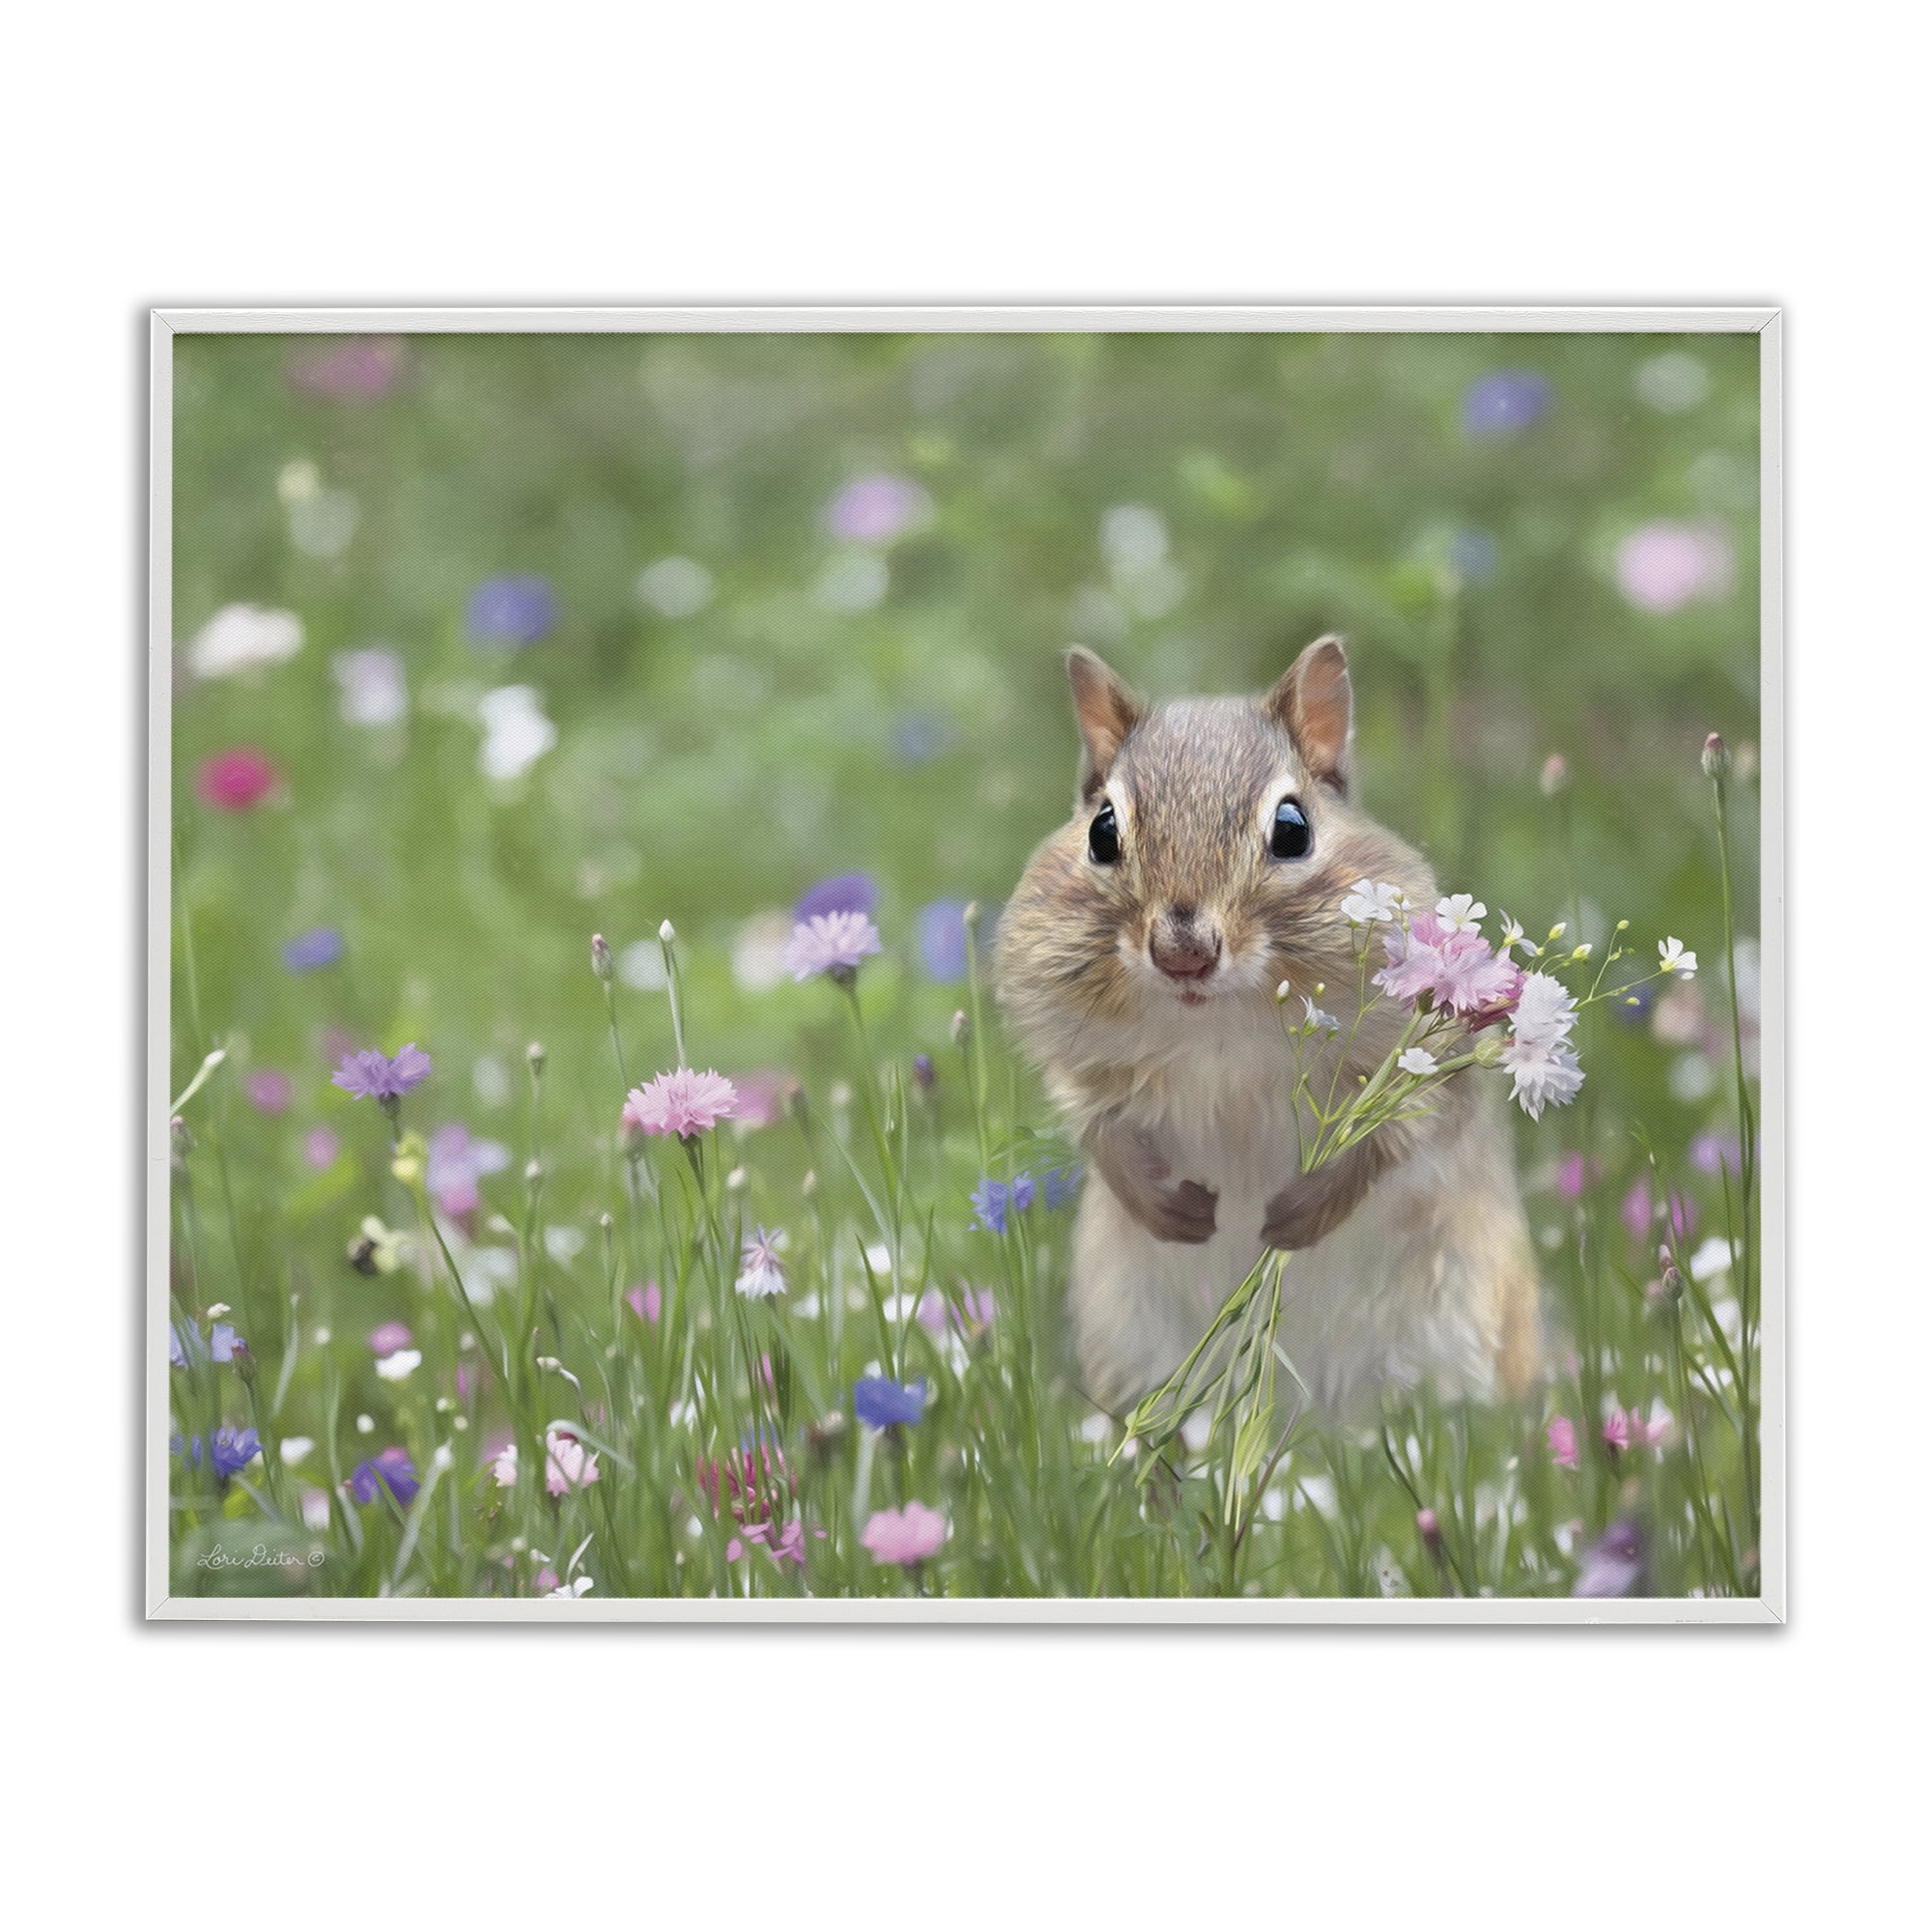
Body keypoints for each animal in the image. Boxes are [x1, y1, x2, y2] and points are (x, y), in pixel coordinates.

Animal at [994, 637, 1541, 1416]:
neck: (1217, 1025)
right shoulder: (1081, 1060)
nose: (1183, 954)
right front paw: (1170, 1210)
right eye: (1102, 831)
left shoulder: (1422, 1064)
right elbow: (1098, 1128)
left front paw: (1296, 1217)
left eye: (1293, 829)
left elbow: (1395, 1139)